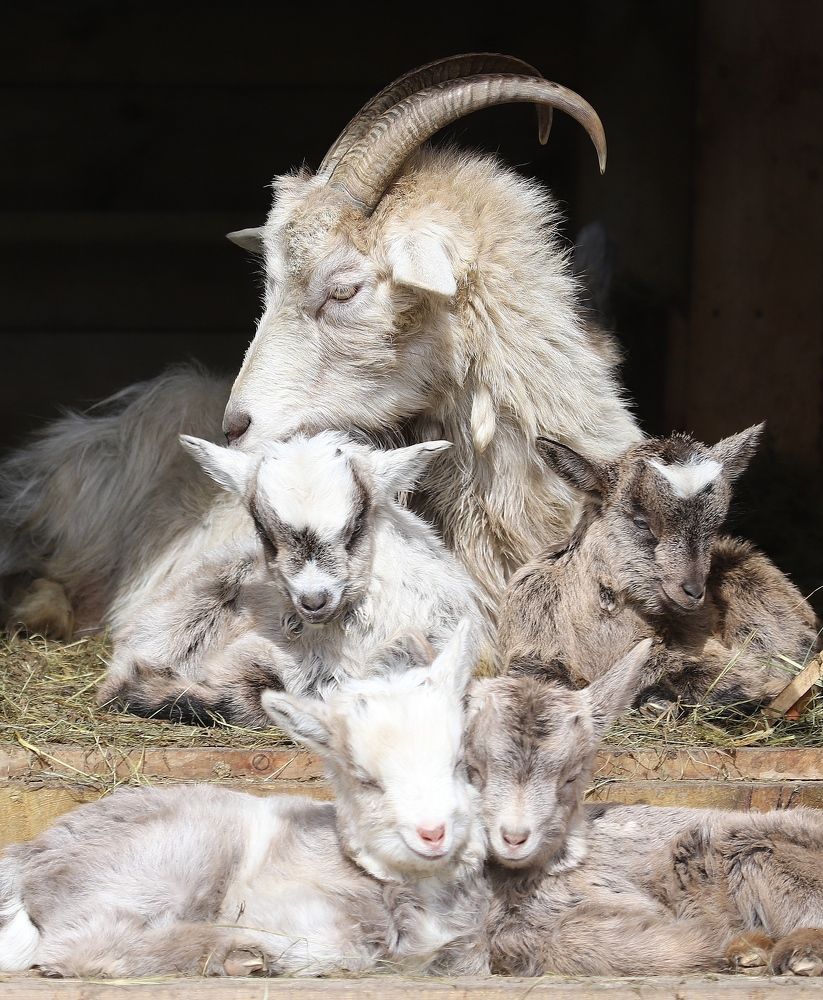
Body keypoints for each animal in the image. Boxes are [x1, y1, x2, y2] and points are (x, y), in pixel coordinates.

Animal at [0, 621, 489, 979]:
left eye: (459, 762)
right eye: (366, 780)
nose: (432, 832)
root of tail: (29, 855)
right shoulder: (285, 906)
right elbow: (341, 948)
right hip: (161, 864)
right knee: (81, 948)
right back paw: (233, 955)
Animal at [467, 639, 823, 977]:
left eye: (571, 776)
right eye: (473, 768)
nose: (514, 837)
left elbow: (569, 939)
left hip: (763, 852)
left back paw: (794, 954)